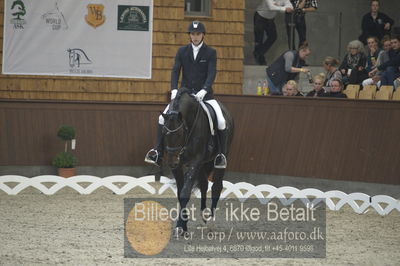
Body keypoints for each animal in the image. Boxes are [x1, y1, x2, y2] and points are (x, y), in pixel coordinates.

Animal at [161, 88, 233, 234]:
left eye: (179, 134)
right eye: (164, 132)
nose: (171, 162)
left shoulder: (195, 161)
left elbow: (185, 192)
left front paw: (179, 226)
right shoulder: (180, 165)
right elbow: (180, 192)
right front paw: (183, 224)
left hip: (218, 159)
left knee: (217, 187)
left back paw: (211, 221)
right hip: (203, 164)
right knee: (204, 184)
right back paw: (204, 216)